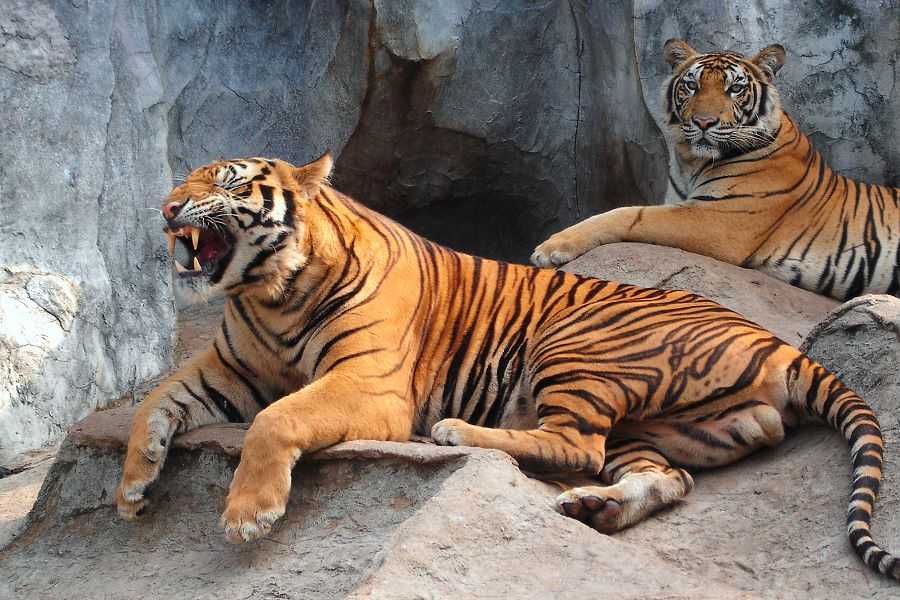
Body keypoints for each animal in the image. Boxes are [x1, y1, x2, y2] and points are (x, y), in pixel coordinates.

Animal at [116, 152, 898, 581]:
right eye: (182, 180)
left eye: (226, 182)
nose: (166, 207)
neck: (268, 290)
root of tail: (782, 343)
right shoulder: (228, 369)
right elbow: (154, 400)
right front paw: (131, 490)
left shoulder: (369, 386)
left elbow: (278, 420)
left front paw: (248, 517)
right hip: (659, 431)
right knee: (659, 477)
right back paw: (593, 510)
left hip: (574, 345)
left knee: (573, 443)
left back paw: (457, 435)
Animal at [531, 39, 899, 300]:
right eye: (692, 86)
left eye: (734, 88)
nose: (704, 122)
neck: (692, 162)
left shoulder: (718, 220)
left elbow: (630, 214)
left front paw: (551, 248)